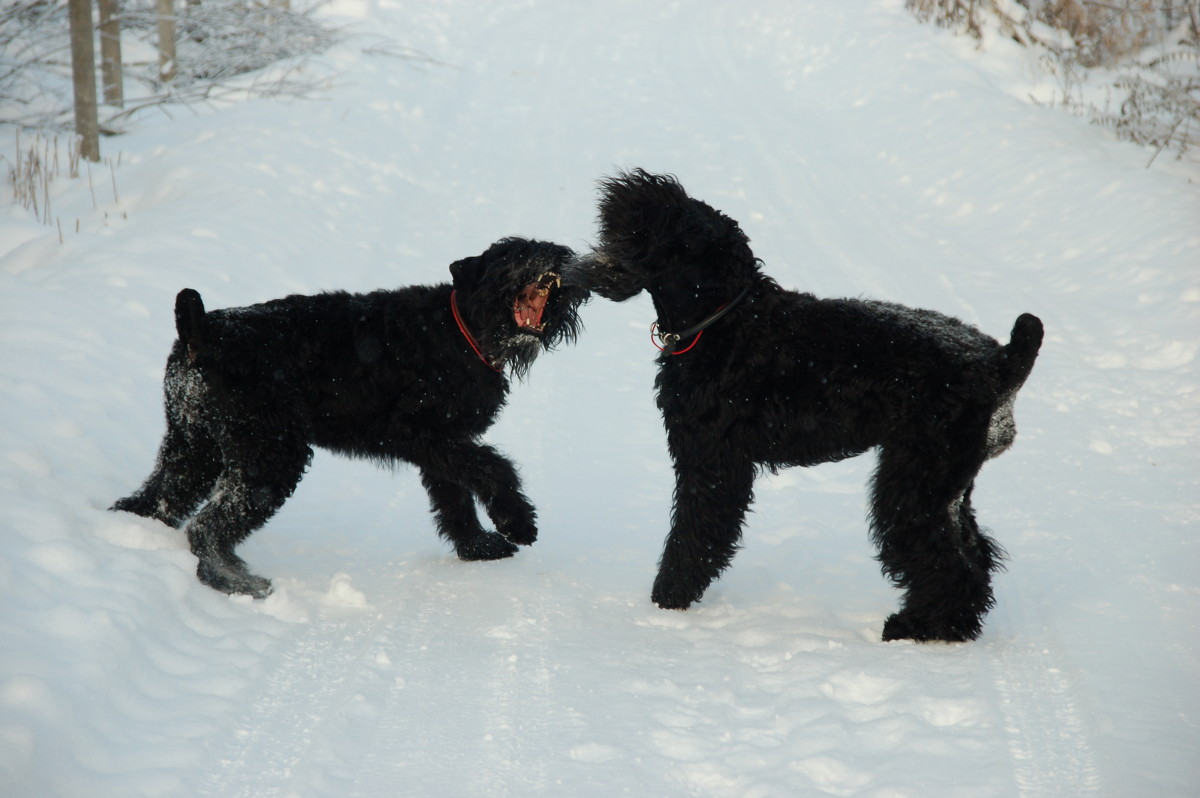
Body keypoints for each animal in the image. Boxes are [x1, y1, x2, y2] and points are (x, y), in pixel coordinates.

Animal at [112, 236, 585, 597]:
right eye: (512, 254)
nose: (557, 259)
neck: (461, 330)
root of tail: (200, 333)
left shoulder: (443, 445)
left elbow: (454, 497)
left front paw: (478, 547)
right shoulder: (421, 433)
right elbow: (492, 468)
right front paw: (516, 522)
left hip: (194, 446)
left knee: (159, 497)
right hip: (270, 456)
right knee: (206, 527)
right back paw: (239, 582)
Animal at [564, 169, 1041, 643]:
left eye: (646, 228)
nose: (581, 268)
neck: (724, 322)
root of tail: (1000, 362)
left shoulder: (712, 463)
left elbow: (694, 536)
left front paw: (666, 604)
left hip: (915, 481)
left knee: (947, 561)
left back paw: (919, 627)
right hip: (949, 485)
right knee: (975, 555)